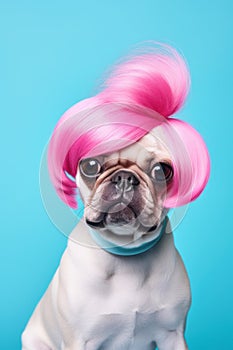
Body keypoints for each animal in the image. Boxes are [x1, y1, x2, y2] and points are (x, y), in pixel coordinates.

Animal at [22, 44, 211, 350]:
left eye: (162, 171)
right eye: (90, 165)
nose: (124, 177)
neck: (126, 255)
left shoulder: (172, 335)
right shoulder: (79, 340)